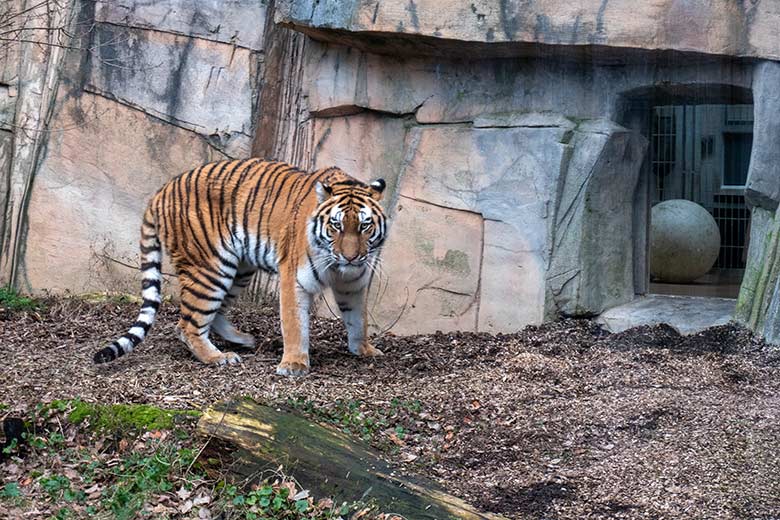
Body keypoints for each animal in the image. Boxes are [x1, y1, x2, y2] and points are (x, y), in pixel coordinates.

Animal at [93, 156, 388, 376]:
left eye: (364, 226)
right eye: (336, 225)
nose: (350, 257)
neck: (339, 268)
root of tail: (161, 190)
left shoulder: (353, 284)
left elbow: (358, 319)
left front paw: (364, 350)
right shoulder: (294, 279)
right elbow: (295, 323)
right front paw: (293, 364)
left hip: (239, 268)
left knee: (214, 312)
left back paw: (242, 339)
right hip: (210, 267)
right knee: (187, 324)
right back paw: (218, 357)